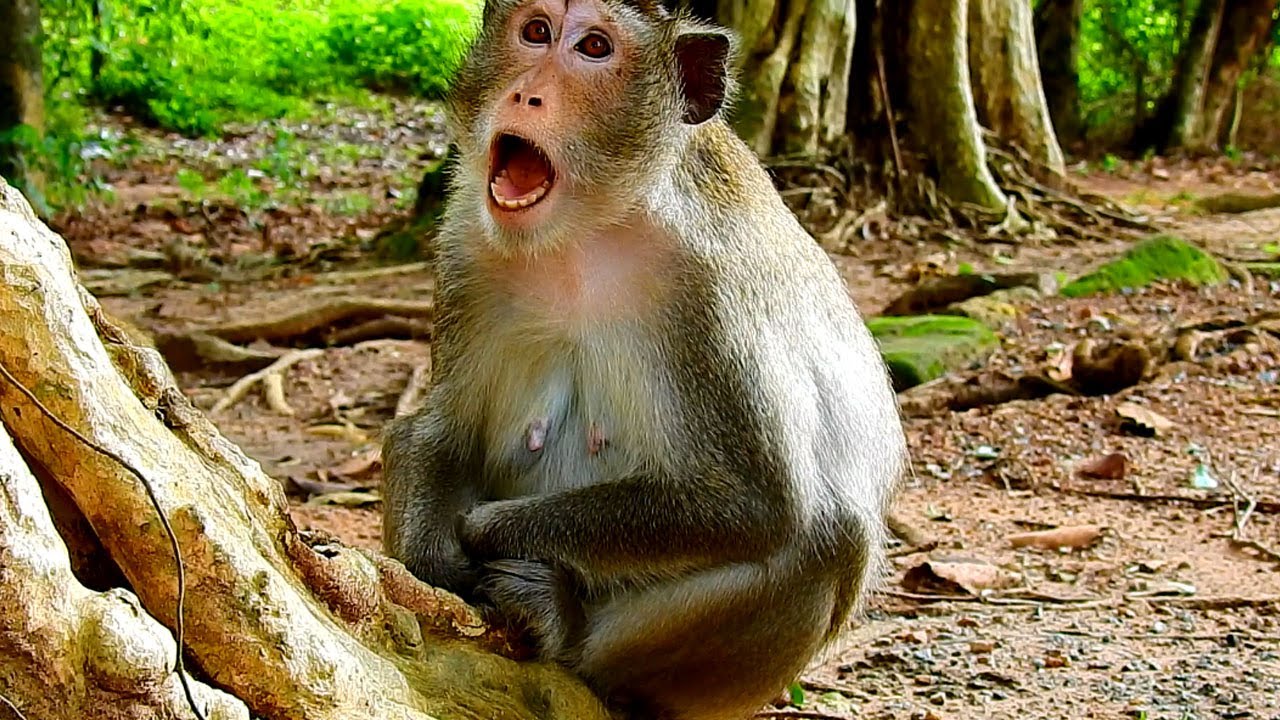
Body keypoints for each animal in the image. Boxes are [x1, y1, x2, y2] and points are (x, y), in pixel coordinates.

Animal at [379, 1, 908, 718]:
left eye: (595, 48)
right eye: (536, 31)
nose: (526, 93)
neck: (583, 233)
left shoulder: (710, 286)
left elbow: (755, 504)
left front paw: (487, 530)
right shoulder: (465, 243)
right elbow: (434, 432)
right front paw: (431, 556)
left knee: (831, 538)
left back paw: (570, 633)